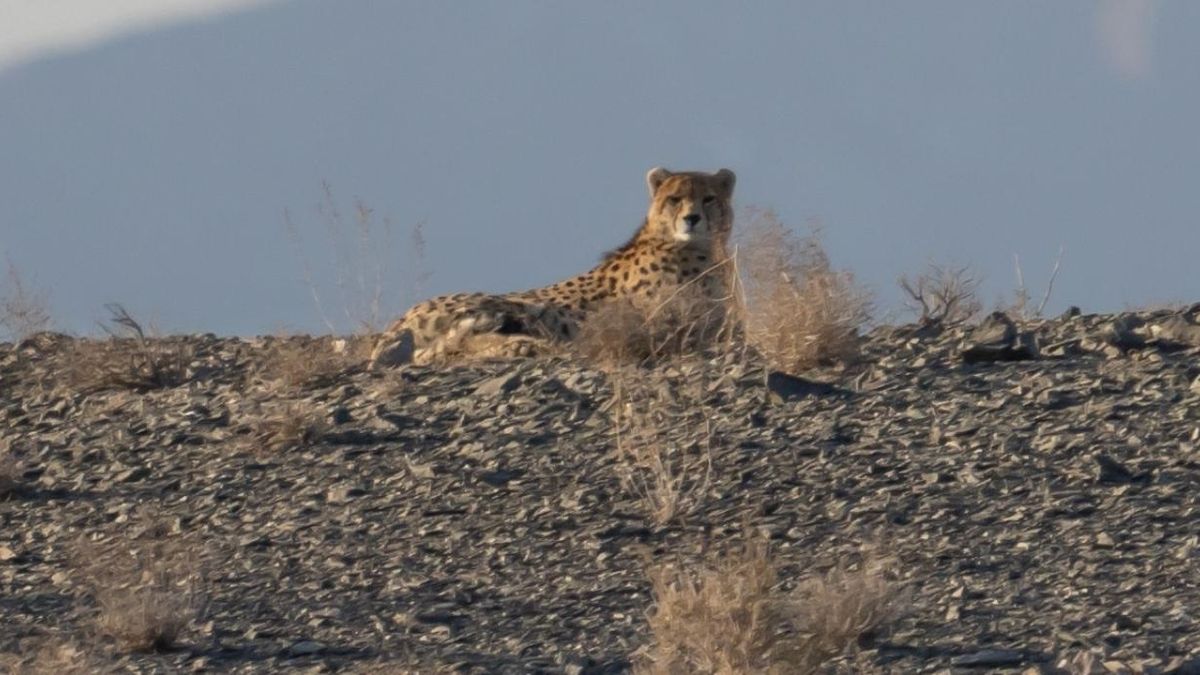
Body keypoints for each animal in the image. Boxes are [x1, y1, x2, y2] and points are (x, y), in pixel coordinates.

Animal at [369, 166, 737, 367]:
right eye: (675, 199)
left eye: (708, 199)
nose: (692, 218)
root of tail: (399, 320)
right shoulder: (664, 322)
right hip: (508, 304)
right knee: (457, 345)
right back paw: (528, 345)